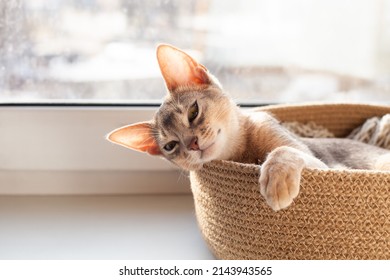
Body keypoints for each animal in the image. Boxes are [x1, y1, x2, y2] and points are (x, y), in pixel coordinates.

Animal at [106, 43, 390, 210]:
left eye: (193, 112)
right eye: (170, 146)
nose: (193, 144)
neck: (242, 153)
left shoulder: (324, 165)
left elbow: (282, 150)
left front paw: (276, 182)